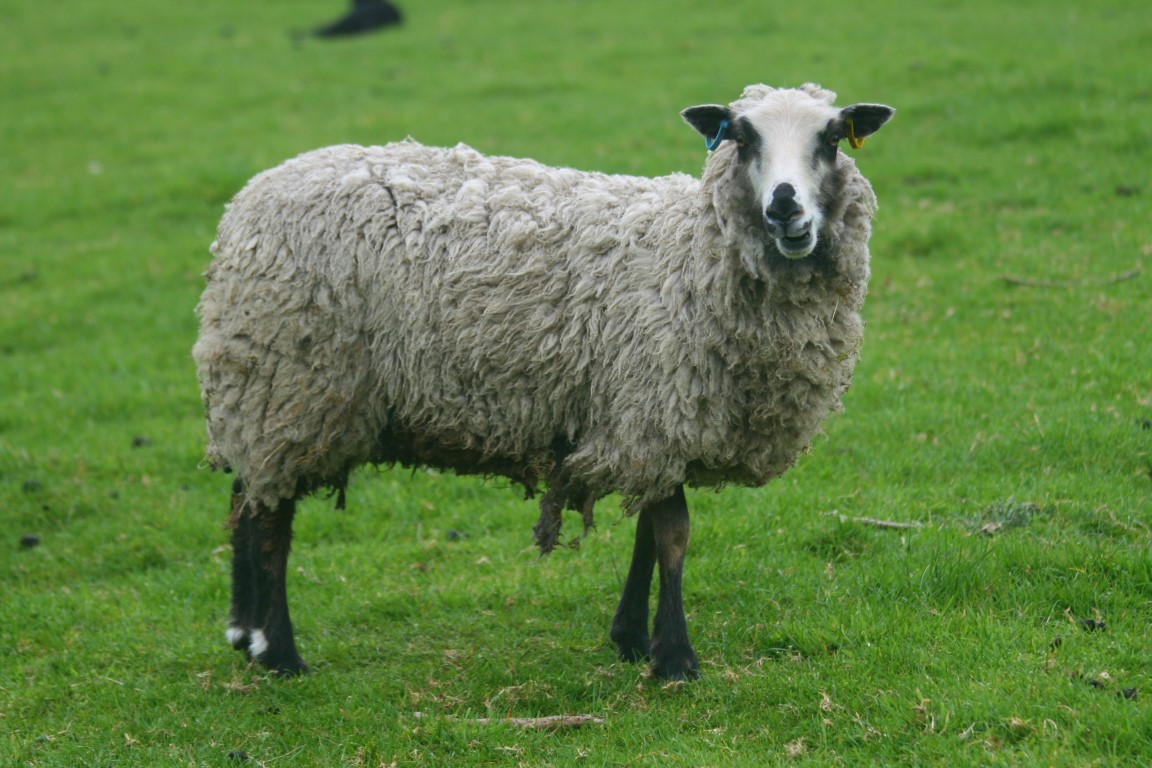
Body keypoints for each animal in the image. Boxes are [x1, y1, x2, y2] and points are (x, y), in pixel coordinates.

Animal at [191, 84, 889, 681]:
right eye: (741, 138)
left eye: (832, 139)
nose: (785, 205)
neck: (688, 257)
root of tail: (252, 196)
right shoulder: (654, 405)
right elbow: (673, 535)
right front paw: (674, 659)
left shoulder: (651, 420)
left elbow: (647, 531)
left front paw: (631, 638)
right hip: (292, 380)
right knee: (273, 515)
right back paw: (279, 651)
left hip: (261, 383)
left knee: (247, 494)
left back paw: (244, 632)